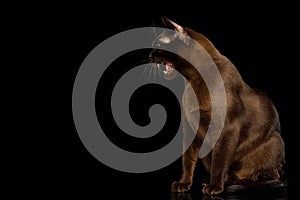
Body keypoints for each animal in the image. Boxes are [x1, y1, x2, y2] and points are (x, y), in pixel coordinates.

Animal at [150, 17, 286, 195]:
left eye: (159, 44)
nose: (149, 54)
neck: (194, 81)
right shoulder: (190, 128)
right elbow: (187, 161)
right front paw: (183, 184)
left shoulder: (226, 129)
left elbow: (219, 162)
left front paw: (214, 187)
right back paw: (224, 181)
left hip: (274, 141)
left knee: (269, 174)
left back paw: (240, 182)